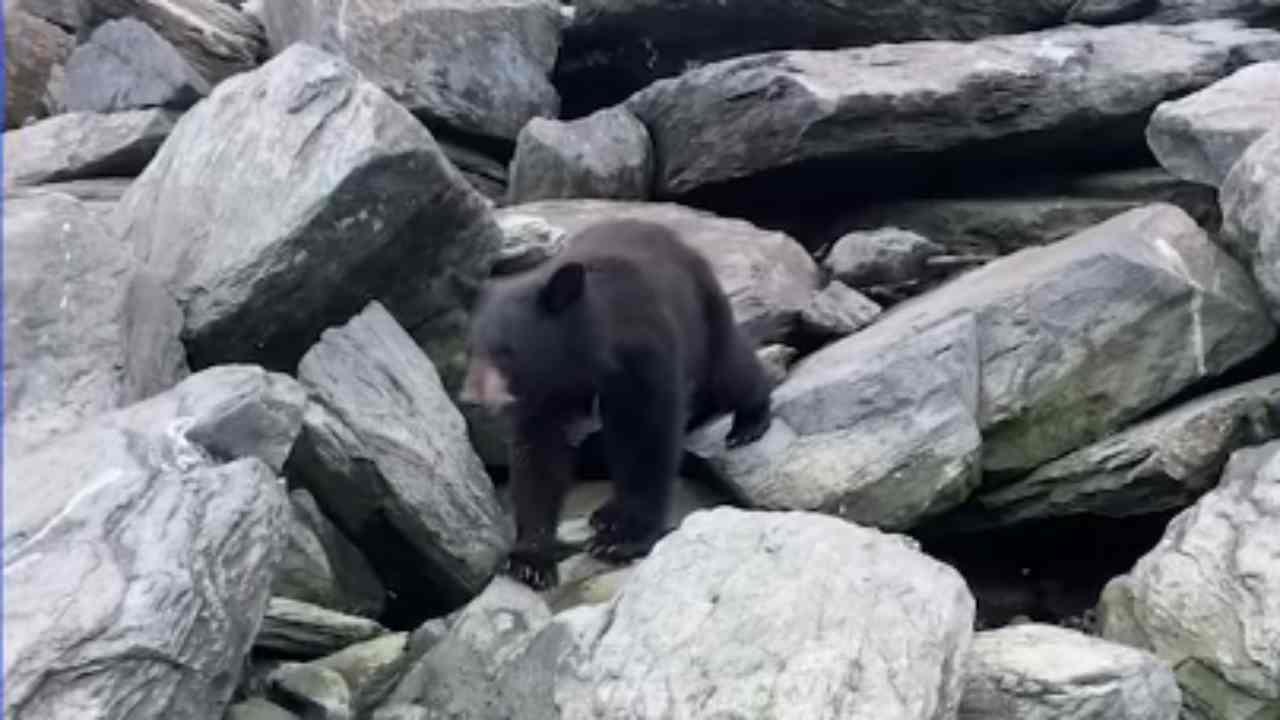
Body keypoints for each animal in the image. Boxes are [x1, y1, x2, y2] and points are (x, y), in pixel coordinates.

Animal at [465, 215, 773, 586]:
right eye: (470, 350)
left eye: (507, 352)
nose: (471, 399)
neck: (581, 359)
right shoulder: (544, 394)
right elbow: (537, 456)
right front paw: (530, 559)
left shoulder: (645, 356)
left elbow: (647, 437)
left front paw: (624, 540)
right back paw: (605, 512)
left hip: (706, 318)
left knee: (728, 373)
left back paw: (749, 422)